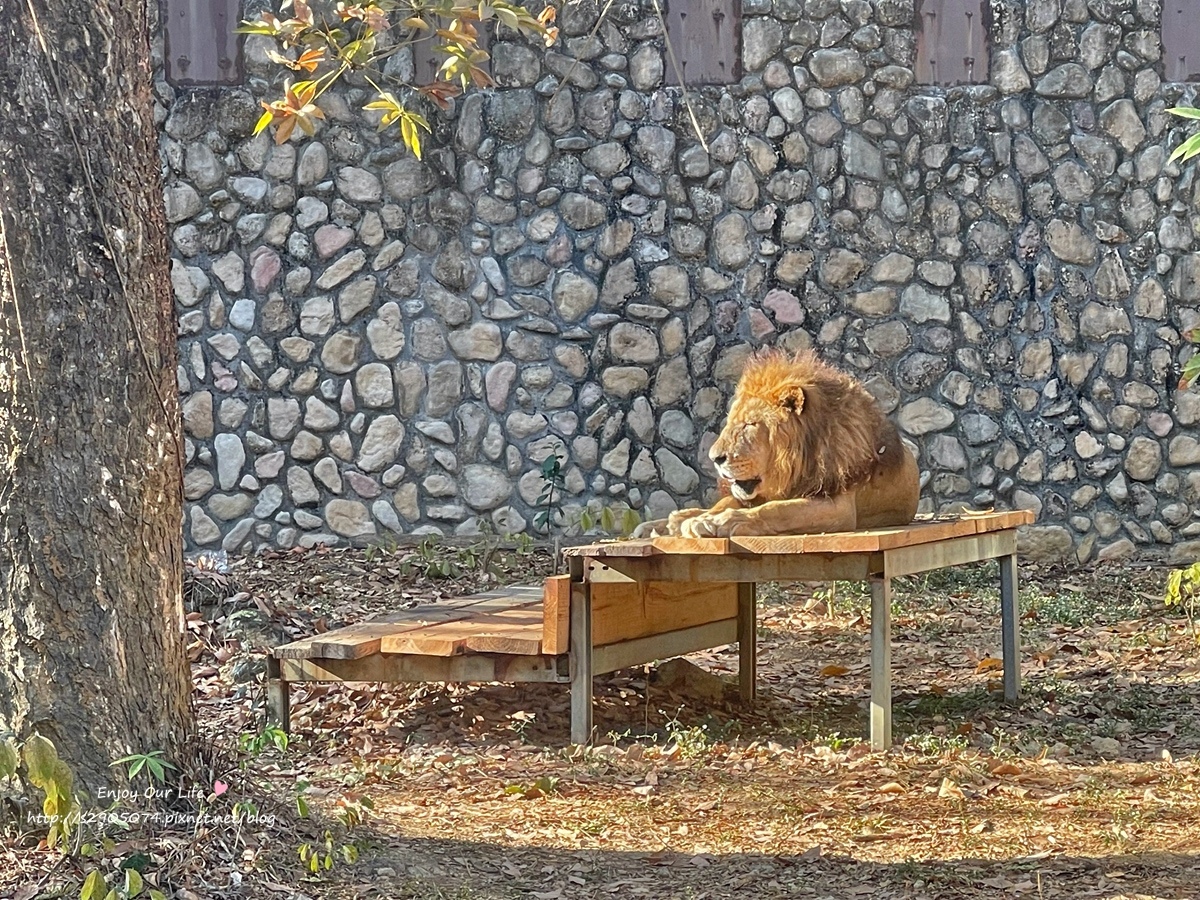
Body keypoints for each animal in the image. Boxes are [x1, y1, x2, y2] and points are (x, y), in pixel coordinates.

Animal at [638, 350, 916, 535]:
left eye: (750, 424)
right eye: (732, 422)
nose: (715, 458)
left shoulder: (839, 505)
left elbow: (778, 510)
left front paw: (729, 522)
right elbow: (745, 504)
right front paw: (702, 520)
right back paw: (668, 522)